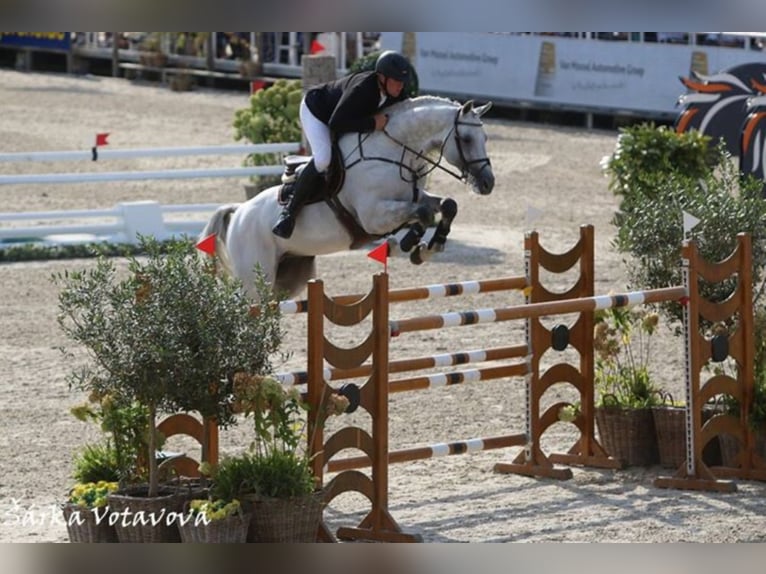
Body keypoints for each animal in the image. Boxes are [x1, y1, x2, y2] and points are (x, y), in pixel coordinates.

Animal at [200, 95, 495, 300]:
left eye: (485, 137)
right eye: (466, 139)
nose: (487, 183)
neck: (393, 152)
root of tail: (238, 212)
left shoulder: (413, 197)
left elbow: (445, 205)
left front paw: (428, 246)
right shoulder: (373, 216)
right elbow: (421, 212)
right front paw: (412, 243)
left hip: (287, 278)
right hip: (254, 278)